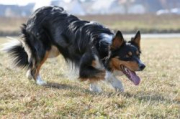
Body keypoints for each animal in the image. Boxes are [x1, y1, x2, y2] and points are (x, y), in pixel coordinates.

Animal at [2, 6, 146, 92]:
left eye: (138, 54)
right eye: (127, 55)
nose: (143, 66)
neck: (103, 47)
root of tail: (35, 13)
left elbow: (97, 74)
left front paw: (94, 88)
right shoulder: (83, 68)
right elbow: (105, 73)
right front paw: (117, 84)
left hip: (53, 51)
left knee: (32, 62)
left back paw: (29, 75)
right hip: (43, 49)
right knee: (34, 65)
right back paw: (39, 81)